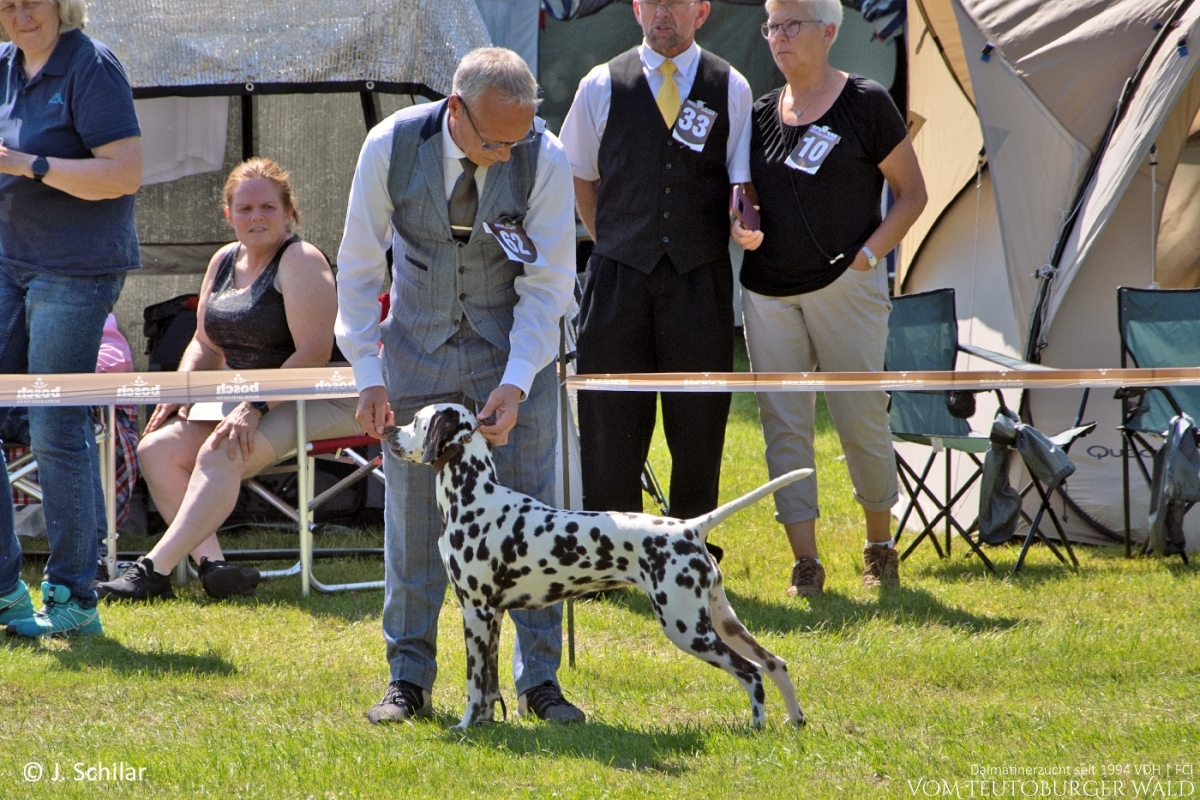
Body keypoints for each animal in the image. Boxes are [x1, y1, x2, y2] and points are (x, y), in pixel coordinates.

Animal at [388, 402, 811, 729]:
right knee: (775, 664)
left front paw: (465, 727)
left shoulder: (475, 612)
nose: (389, 428)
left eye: (417, 420)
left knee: (751, 672)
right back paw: (794, 721)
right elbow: (490, 685)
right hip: (722, 620)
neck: (474, 499)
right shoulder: (492, 617)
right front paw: (487, 724)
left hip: (686, 627)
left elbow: (475, 685)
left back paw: (757, 726)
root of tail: (691, 527)